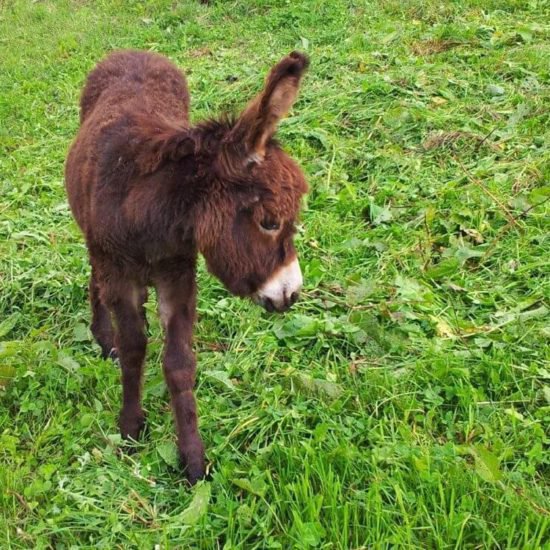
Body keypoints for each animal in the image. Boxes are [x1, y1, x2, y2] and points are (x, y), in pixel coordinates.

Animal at [64, 49, 310, 486]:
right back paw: (102, 336)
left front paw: (192, 460)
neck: (150, 214)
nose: (291, 293)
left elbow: (179, 364)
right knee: (94, 277)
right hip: (95, 242)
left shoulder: (176, 276)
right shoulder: (120, 275)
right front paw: (131, 426)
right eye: (269, 221)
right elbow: (134, 348)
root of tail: (134, 51)